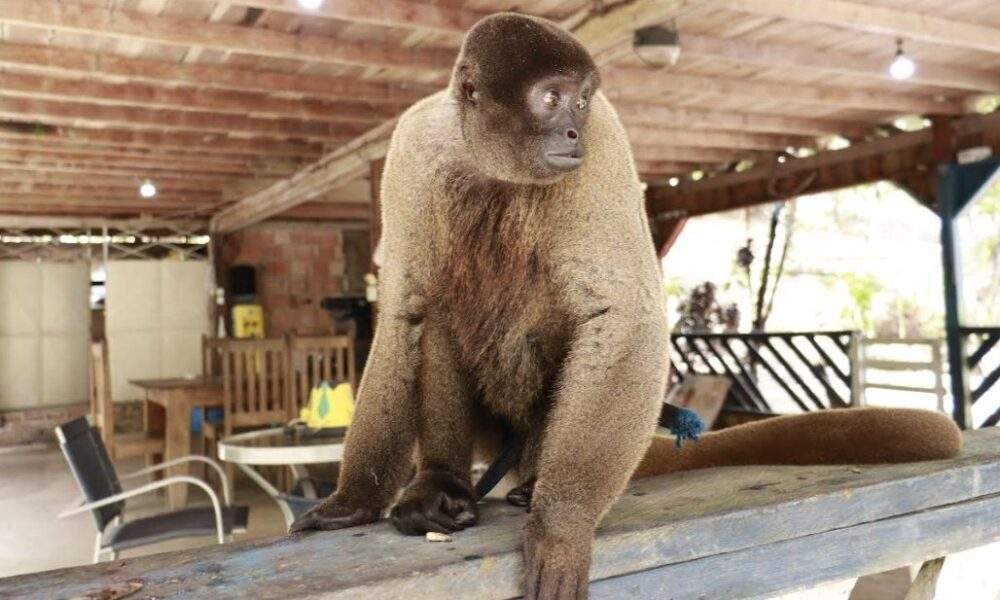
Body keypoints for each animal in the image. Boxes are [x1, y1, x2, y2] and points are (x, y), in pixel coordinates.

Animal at [288, 13, 964, 600]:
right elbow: (406, 310)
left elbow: (622, 316)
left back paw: (534, 489)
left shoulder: (606, 142)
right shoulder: (413, 148)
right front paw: (354, 499)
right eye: (551, 99)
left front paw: (561, 525)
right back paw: (441, 486)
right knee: (439, 316)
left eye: (583, 102)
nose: (572, 132)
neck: (489, 160)